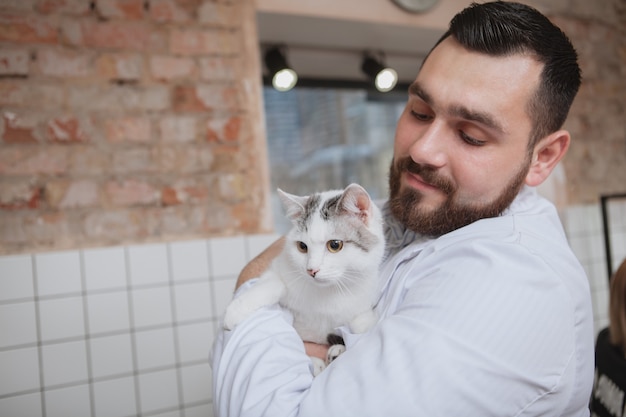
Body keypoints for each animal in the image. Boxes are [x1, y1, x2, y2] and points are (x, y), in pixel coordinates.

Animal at [222, 184, 382, 376]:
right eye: (302, 247)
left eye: (334, 245)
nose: (311, 270)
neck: (327, 293)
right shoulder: (280, 267)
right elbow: (274, 283)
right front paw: (235, 311)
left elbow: (361, 324)